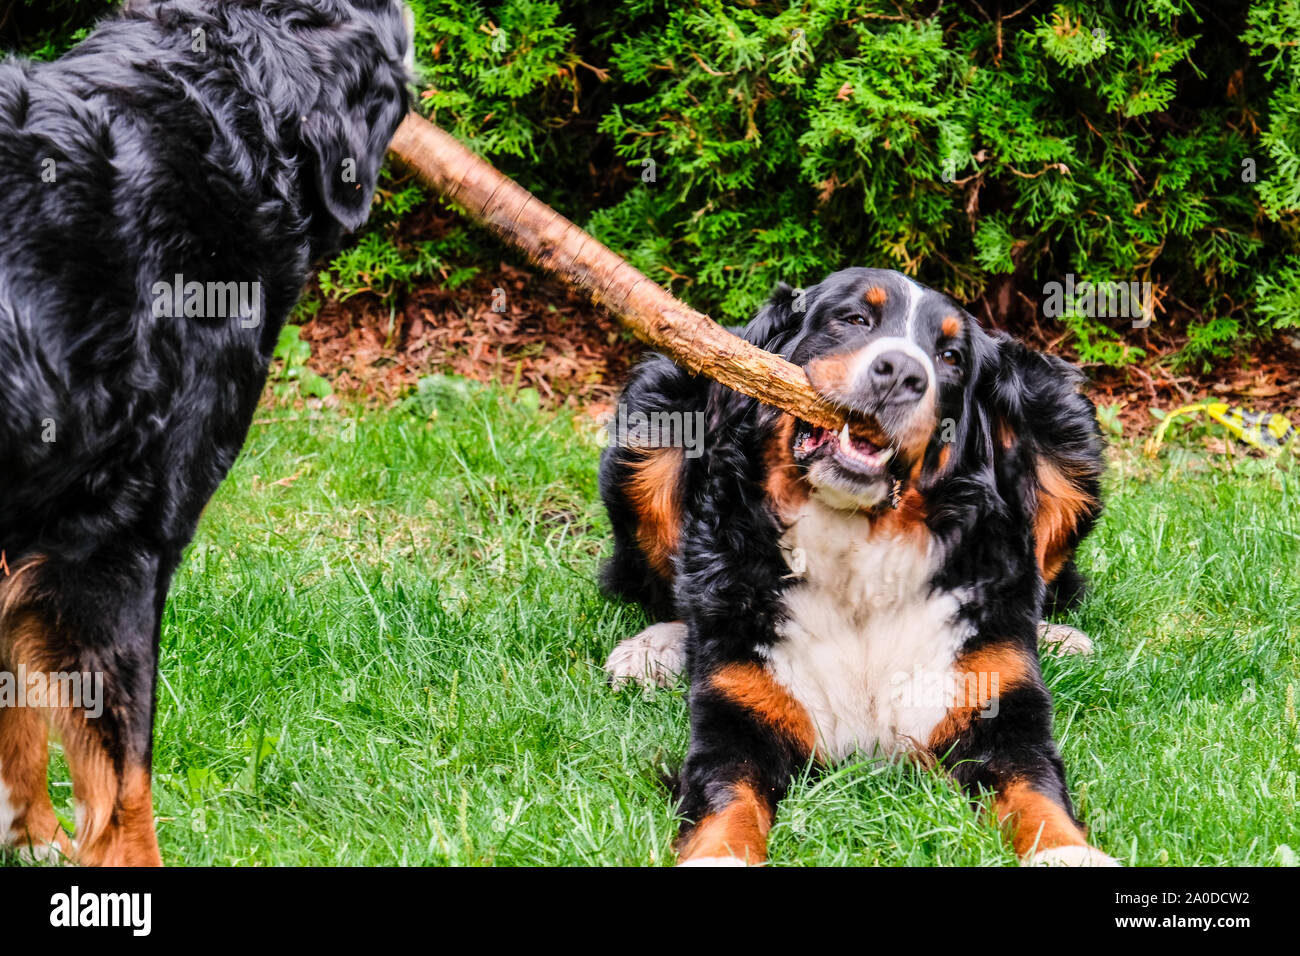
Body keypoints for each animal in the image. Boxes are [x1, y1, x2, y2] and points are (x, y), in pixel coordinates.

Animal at [600, 267, 1118, 868]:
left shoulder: (1001, 713)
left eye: (950, 356)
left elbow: (1039, 793)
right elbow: (726, 804)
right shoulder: (737, 716)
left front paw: (1072, 855)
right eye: (853, 319)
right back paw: (652, 650)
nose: (902, 372)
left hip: (1065, 423)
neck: (857, 549)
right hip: (655, 408)